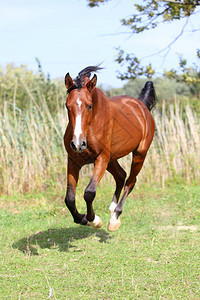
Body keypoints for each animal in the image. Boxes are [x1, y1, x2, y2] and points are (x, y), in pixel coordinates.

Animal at [63, 65, 156, 231]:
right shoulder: (73, 161)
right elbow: (69, 198)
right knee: (121, 176)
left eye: (89, 106)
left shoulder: (101, 158)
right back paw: (112, 209)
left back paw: (114, 218)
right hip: (112, 159)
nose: (78, 144)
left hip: (139, 154)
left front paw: (94, 220)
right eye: (68, 106)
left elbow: (89, 192)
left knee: (130, 181)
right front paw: (81, 218)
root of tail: (141, 105)